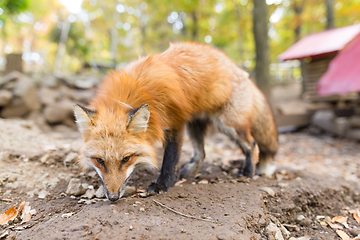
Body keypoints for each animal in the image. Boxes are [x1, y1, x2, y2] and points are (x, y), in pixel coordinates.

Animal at [74, 41, 278, 201]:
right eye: (99, 160)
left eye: (126, 159)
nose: (113, 197)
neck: (136, 90)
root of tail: (241, 71)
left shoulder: (175, 122)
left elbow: (169, 160)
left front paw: (162, 185)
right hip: (195, 124)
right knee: (201, 153)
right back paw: (187, 174)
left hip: (228, 124)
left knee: (252, 144)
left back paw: (248, 172)